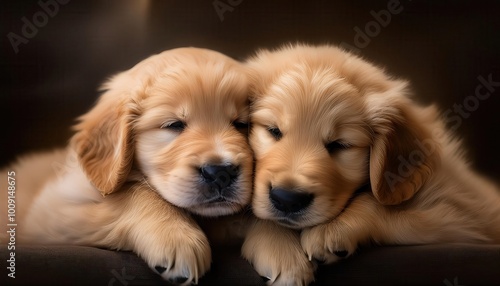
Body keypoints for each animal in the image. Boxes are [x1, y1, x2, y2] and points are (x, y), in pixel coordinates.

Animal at [0, 47, 254, 284]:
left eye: (241, 124)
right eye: (174, 125)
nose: (220, 172)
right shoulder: (51, 211)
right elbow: (136, 192)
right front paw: (177, 237)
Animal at [244, 43, 500, 284]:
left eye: (340, 144)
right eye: (273, 130)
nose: (288, 199)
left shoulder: (463, 215)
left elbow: (377, 203)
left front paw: (331, 230)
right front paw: (283, 254)